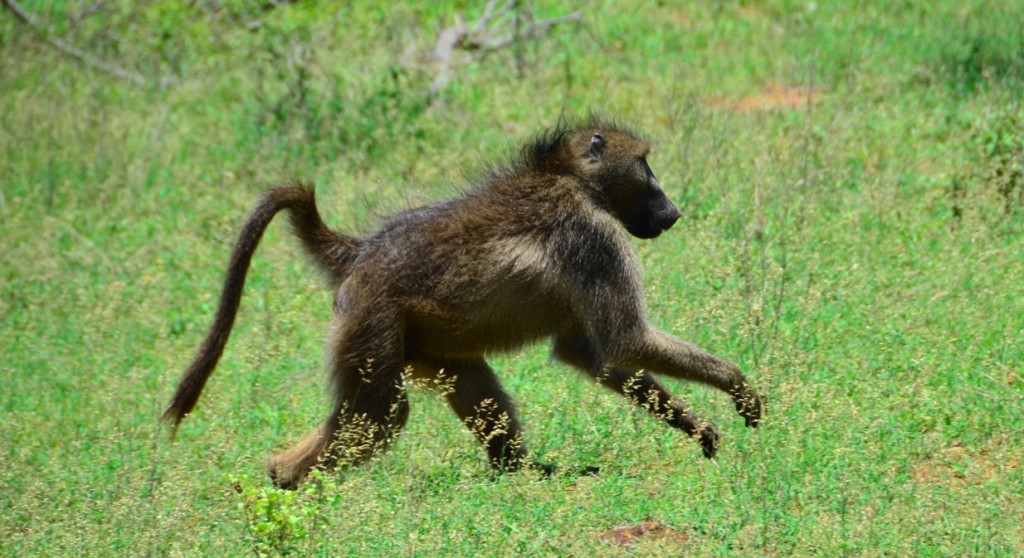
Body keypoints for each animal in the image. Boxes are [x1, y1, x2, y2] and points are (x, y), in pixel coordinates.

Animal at [163, 115, 762, 489]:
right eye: (646, 165)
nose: (674, 212)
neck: (572, 180)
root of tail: (361, 252)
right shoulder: (593, 239)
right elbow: (625, 341)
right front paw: (740, 389)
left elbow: (590, 354)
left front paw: (698, 428)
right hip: (373, 320)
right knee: (381, 416)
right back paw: (289, 486)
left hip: (426, 341)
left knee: (467, 398)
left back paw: (523, 474)